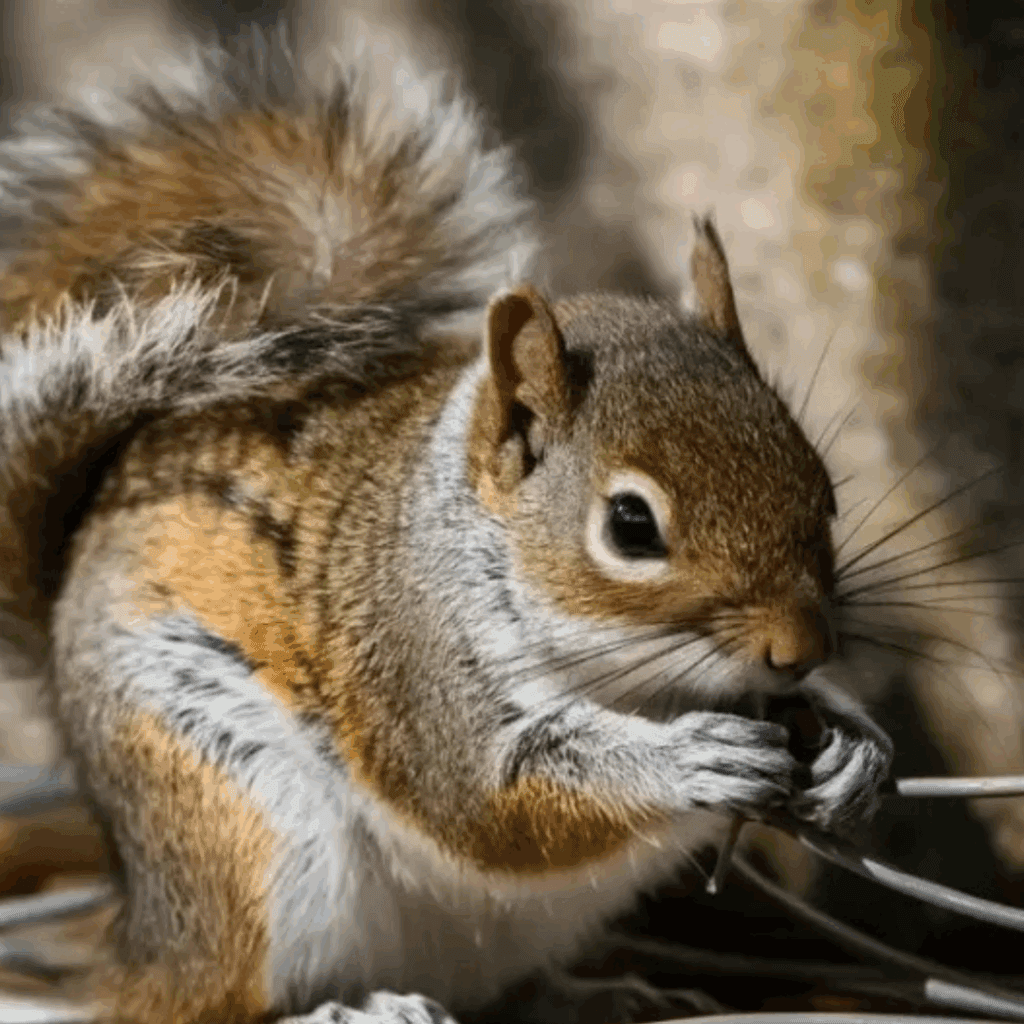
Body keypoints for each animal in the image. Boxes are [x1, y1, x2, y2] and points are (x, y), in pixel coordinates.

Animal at [0, 27, 893, 1024]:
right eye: (631, 526)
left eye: (823, 485)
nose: (801, 649)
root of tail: (141, 932)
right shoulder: (411, 660)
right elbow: (488, 800)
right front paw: (685, 763)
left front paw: (856, 746)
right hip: (237, 809)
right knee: (204, 1001)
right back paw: (349, 1008)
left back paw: (597, 994)